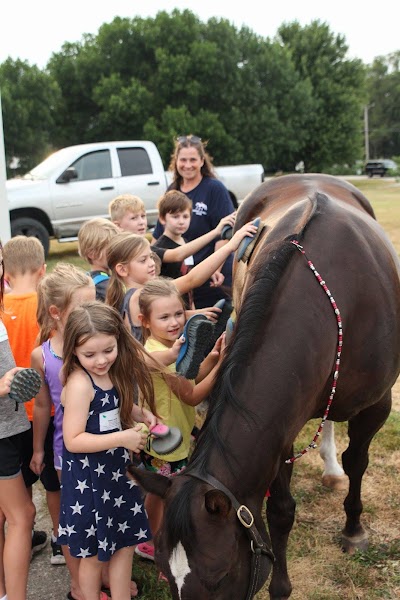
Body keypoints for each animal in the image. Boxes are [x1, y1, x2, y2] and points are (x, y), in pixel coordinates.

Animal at [129, 175, 400, 600]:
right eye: (164, 571)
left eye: (219, 576)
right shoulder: (280, 426)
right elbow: (280, 510)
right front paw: (281, 586)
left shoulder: (377, 406)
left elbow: (358, 462)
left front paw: (354, 529)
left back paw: (332, 469)